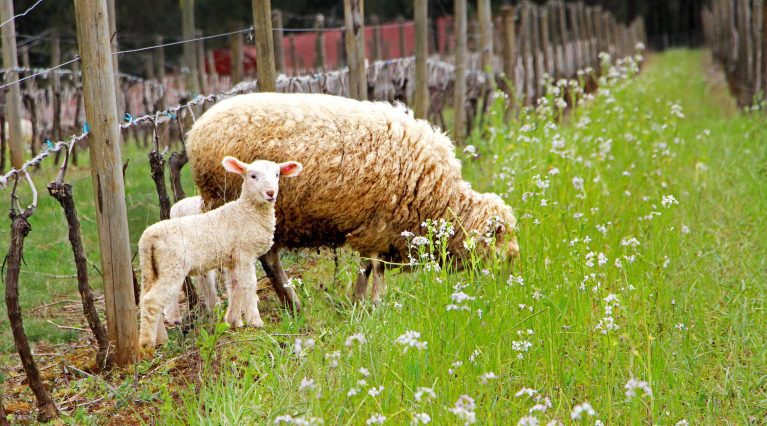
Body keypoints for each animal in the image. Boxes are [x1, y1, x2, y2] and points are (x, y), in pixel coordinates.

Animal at [140, 156, 302, 350]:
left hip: (151, 269)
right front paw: (255, 321)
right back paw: (151, 343)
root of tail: (148, 238)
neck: (247, 211)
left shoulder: (233, 258)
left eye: (277, 174)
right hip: (171, 266)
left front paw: (234, 321)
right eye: (253, 176)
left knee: (145, 299)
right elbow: (249, 284)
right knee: (153, 300)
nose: (270, 193)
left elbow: (234, 286)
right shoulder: (245, 252)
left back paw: (159, 339)